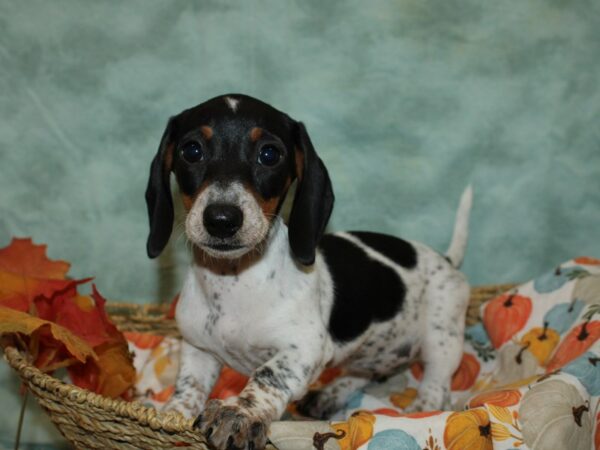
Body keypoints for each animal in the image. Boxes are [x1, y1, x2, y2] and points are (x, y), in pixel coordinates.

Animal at [146, 93, 474, 448]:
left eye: (269, 154)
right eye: (191, 150)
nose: (221, 219)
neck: (233, 280)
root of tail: (445, 259)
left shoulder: (304, 348)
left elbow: (267, 376)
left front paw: (241, 413)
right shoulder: (198, 348)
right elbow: (189, 385)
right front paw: (172, 414)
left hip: (442, 340)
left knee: (436, 385)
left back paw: (420, 411)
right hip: (374, 352)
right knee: (366, 373)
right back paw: (331, 394)